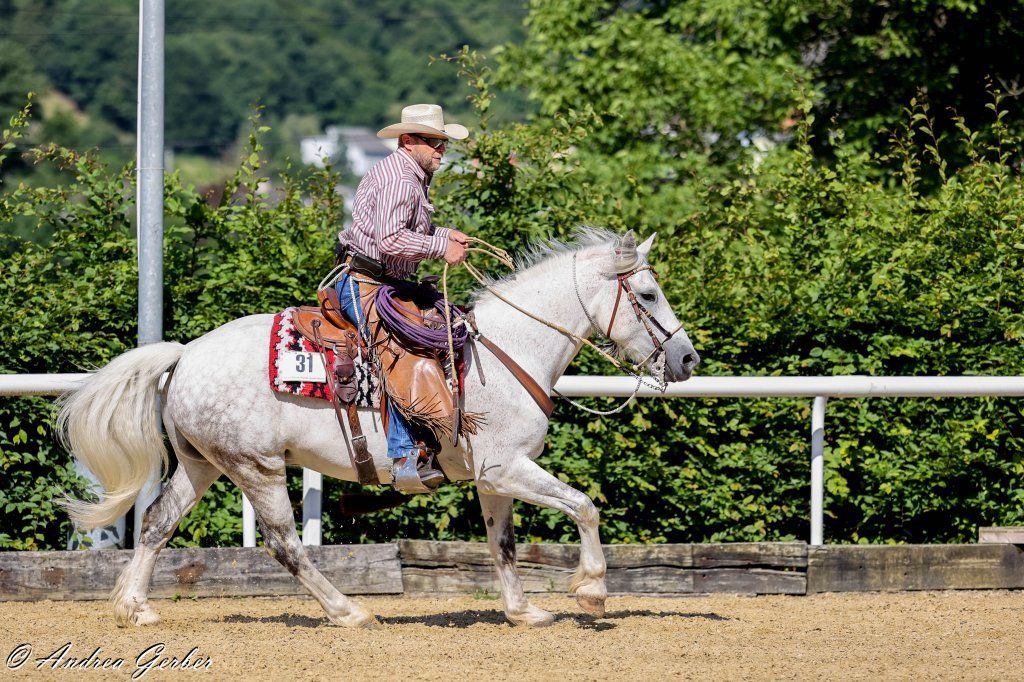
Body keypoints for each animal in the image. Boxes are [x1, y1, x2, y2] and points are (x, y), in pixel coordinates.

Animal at [58, 227, 700, 628]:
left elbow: (503, 544)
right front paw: (591, 588)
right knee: (285, 544)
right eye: (648, 294)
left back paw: (134, 607)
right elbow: (584, 506)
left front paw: (525, 612)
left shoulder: (493, 478)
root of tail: (185, 354)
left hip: (203, 463)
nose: (688, 359)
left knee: (157, 524)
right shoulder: (509, 468)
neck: (506, 351)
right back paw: (348, 611)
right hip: (255, 467)